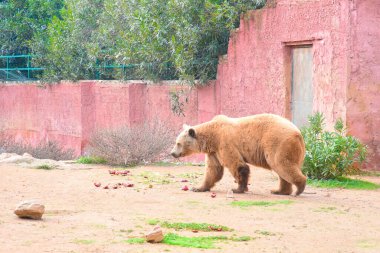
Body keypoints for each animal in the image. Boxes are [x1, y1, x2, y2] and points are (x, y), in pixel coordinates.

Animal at [171, 114, 308, 196]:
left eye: (178, 143)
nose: (172, 153)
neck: (211, 137)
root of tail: (299, 133)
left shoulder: (225, 143)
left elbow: (237, 165)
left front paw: (237, 189)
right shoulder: (213, 152)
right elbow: (213, 170)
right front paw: (199, 187)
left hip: (277, 143)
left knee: (282, 165)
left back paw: (299, 188)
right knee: (282, 170)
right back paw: (280, 190)